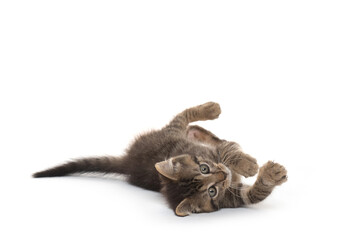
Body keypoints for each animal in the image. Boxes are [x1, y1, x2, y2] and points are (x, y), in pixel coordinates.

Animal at [34, 102, 286, 217]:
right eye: (212, 191)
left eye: (205, 168)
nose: (224, 174)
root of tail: (128, 162)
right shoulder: (234, 198)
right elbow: (255, 191)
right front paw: (266, 172)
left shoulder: (217, 156)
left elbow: (228, 151)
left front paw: (246, 164)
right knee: (186, 121)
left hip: (170, 133)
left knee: (186, 118)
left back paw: (210, 110)